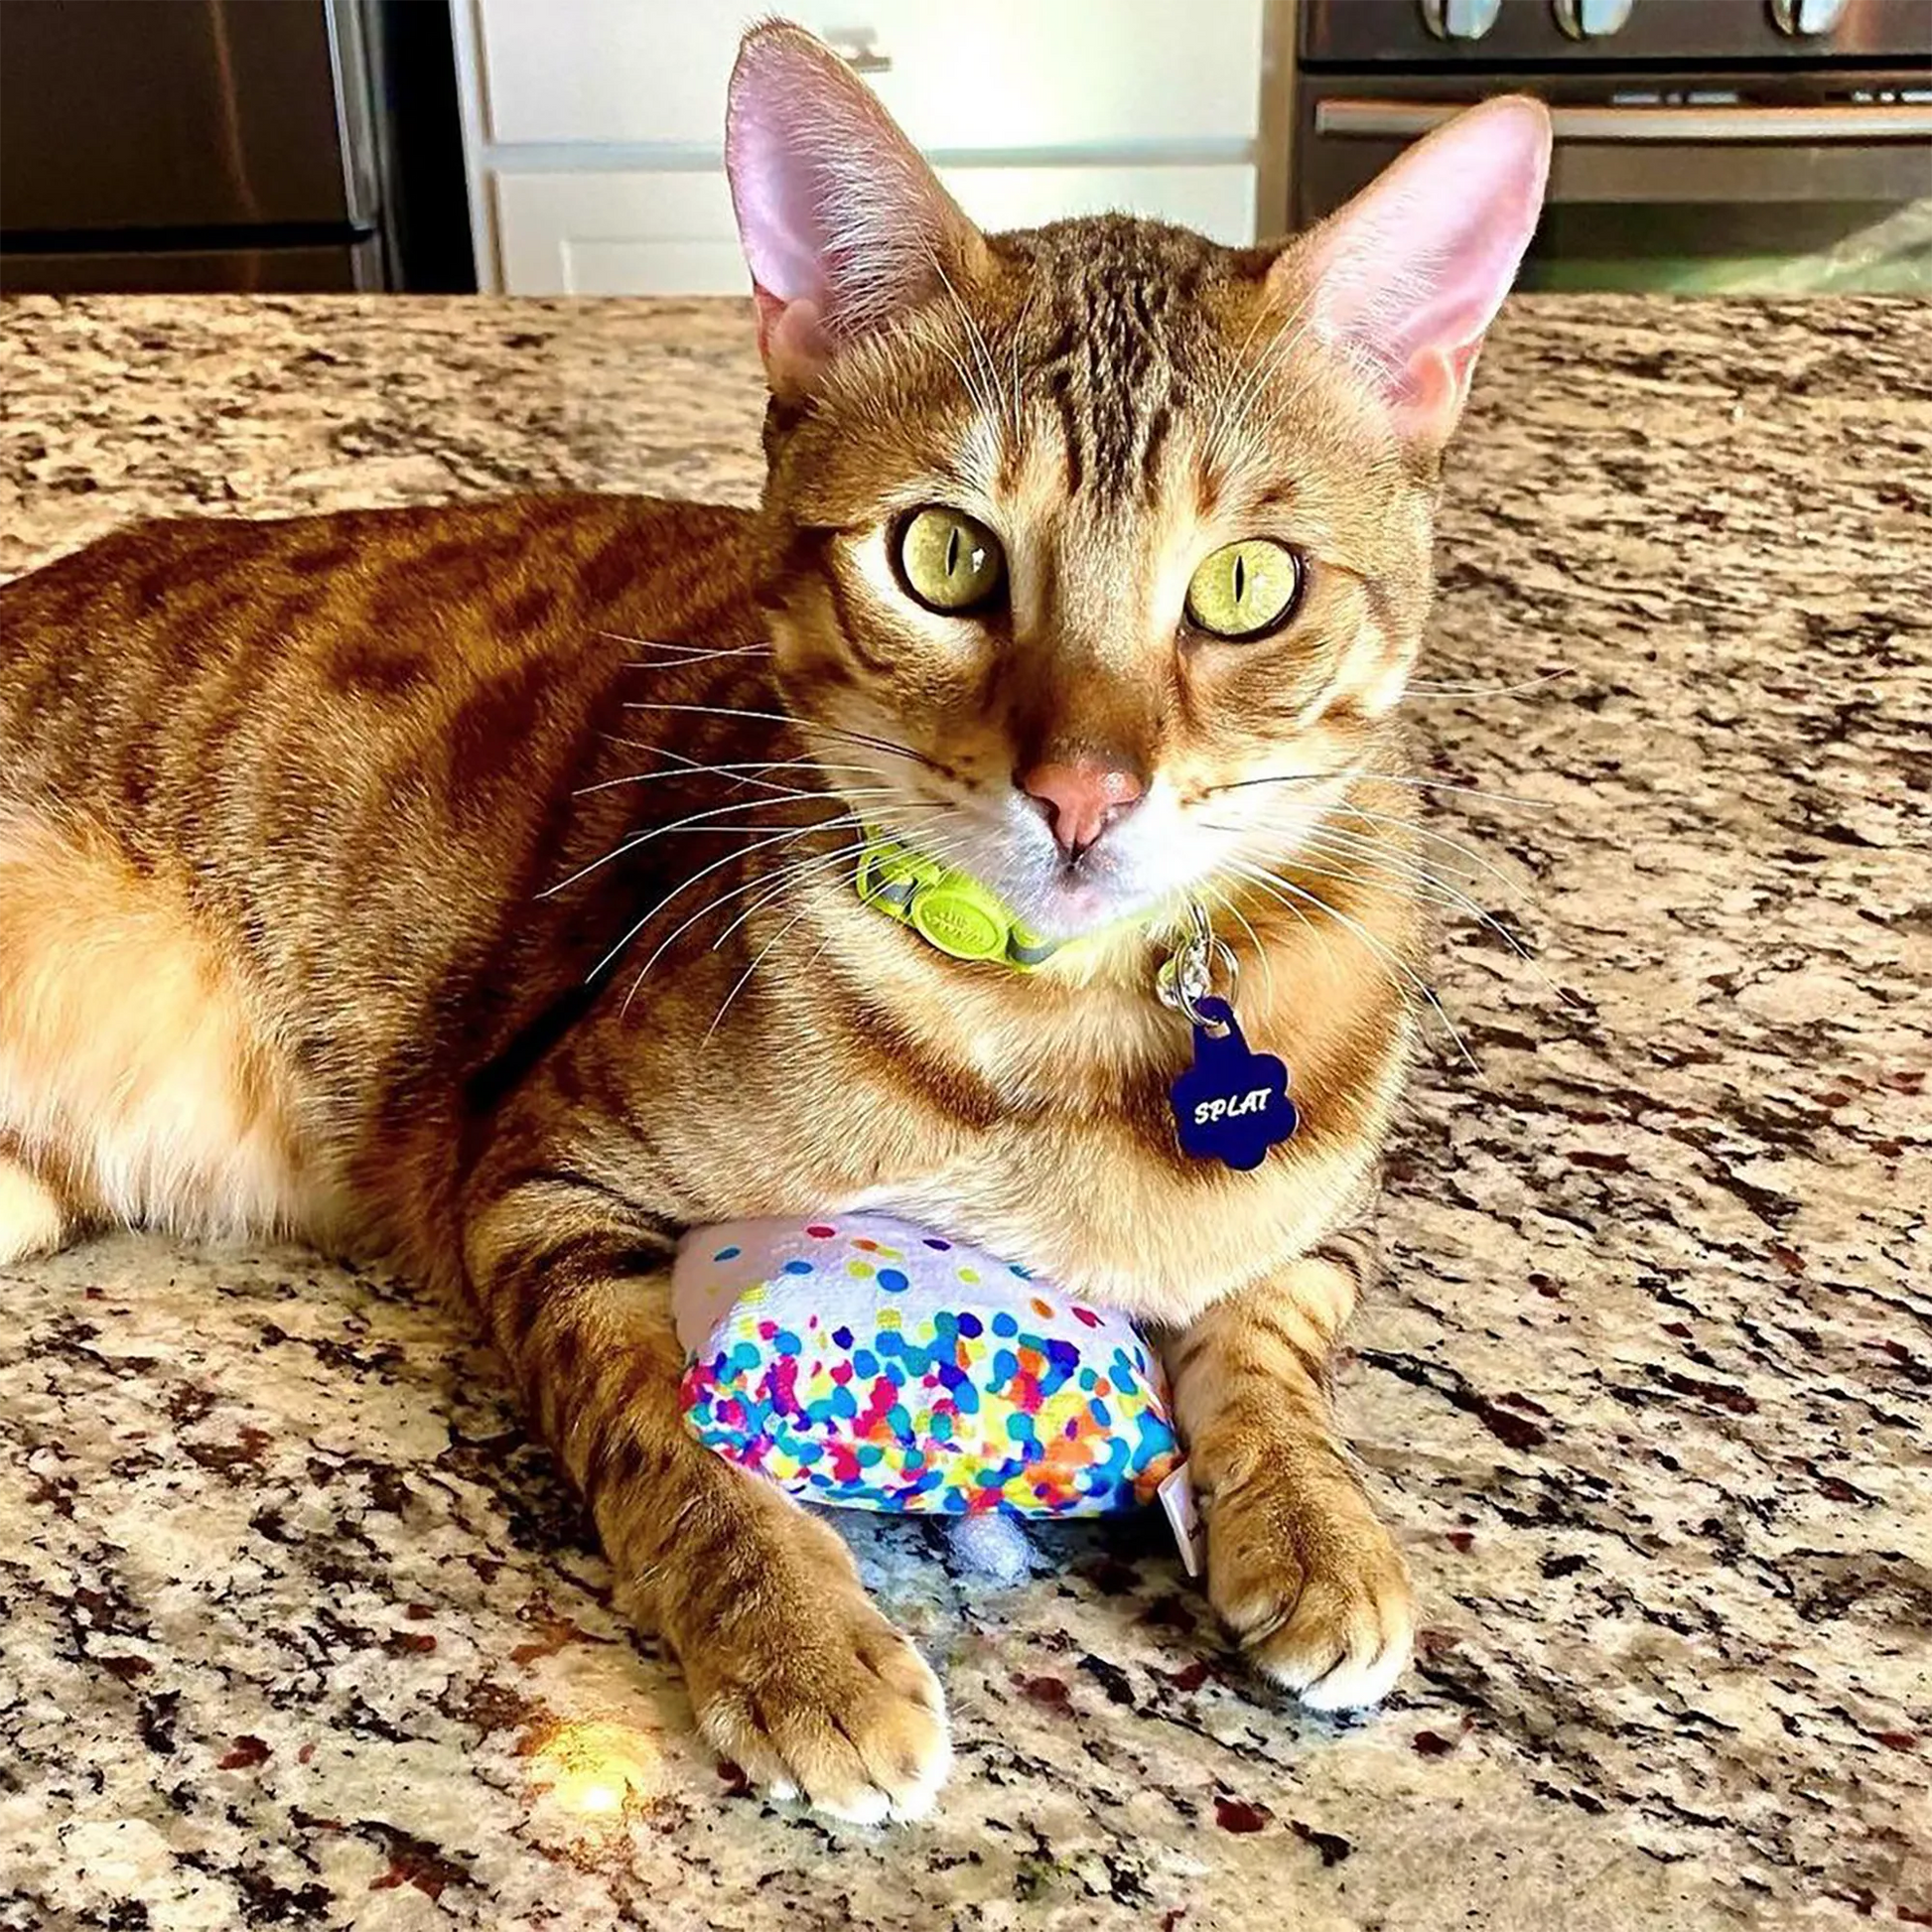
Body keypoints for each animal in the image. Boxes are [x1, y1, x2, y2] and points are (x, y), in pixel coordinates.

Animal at [0, 22, 1538, 1816]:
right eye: (943, 555)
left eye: (1246, 587)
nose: (1080, 792)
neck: (1060, 1028)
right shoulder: (539, 1175)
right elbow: (664, 1415)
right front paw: (796, 1639)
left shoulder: (1328, 1205)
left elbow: (1278, 1330)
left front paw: (1312, 1522)